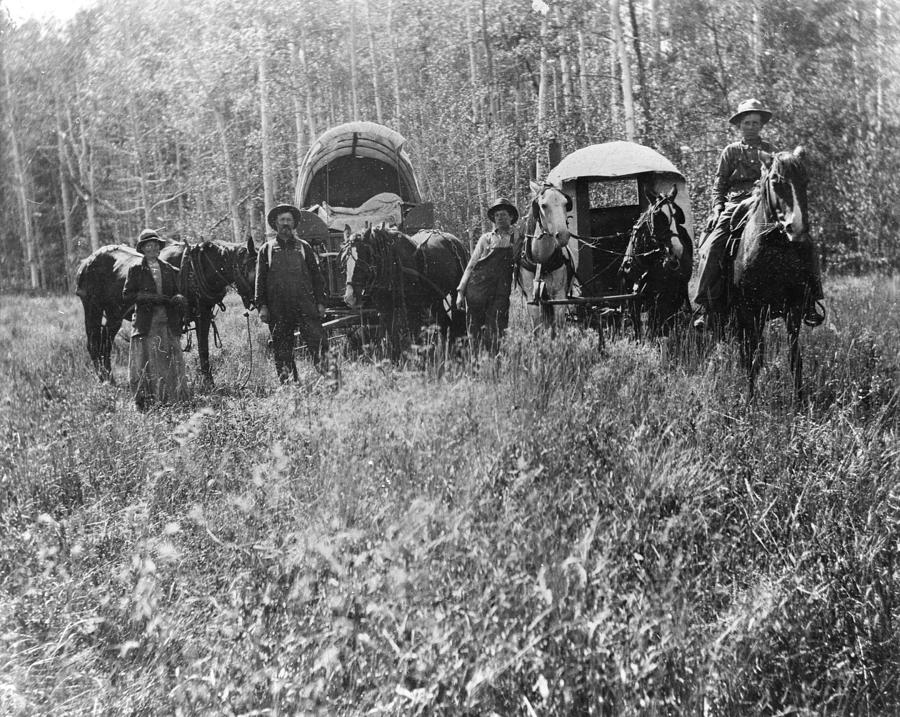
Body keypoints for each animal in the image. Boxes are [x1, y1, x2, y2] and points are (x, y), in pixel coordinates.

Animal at [74, 238, 258, 384]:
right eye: (251, 269)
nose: (257, 299)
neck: (196, 270)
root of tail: (86, 262)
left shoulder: (204, 317)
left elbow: (203, 351)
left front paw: (209, 383)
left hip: (114, 315)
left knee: (105, 344)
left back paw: (110, 379)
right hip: (92, 309)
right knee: (93, 345)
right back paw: (104, 382)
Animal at [342, 224, 472, 358]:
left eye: (367, 254)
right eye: (345, 258)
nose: (350, 297)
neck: (392, 263)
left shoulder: (413, 309)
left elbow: (415, 336)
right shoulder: (385, 310)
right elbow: (391, 337)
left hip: (455, 292)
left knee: (457, 321)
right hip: (435, 300)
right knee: (445, 324)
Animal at [516, 182, 580, 332]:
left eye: (565, 203)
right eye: (543, 205)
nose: (563, 235)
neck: (542, 262)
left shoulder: (559, 296)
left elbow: (559, 326)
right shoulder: (532, 299)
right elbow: (538, 328)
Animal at [624, 187, 692, 338]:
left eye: (678, 215)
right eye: (658, 215)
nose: (678, 250)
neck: (644, 263)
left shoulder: (660, 298)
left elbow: (654, 325)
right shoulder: (632, 300)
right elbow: (637, 328)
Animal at [728, 148, 812, 400]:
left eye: (805, 181)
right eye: (776, 182)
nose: (797, 228)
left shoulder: (794, 308)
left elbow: (794, 358)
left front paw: (799, 401)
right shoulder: (749, 311)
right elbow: (752, 359)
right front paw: (751, 401)